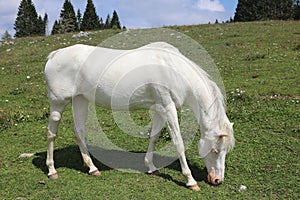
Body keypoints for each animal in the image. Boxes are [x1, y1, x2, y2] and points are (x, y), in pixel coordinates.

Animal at [44, 41, 234, 191]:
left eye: (226, 151)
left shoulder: (159, 109)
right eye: (215, 150)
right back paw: (52, 170)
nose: (217, 180)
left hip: (80, 100)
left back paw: (92, 167)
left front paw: (151, 166)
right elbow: (178, 143)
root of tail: (55, 55)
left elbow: (154, 137)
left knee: (79, 131)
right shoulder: (168, 107)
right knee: (51, 133)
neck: (173, 70)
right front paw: (190, 180)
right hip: (58, 102)